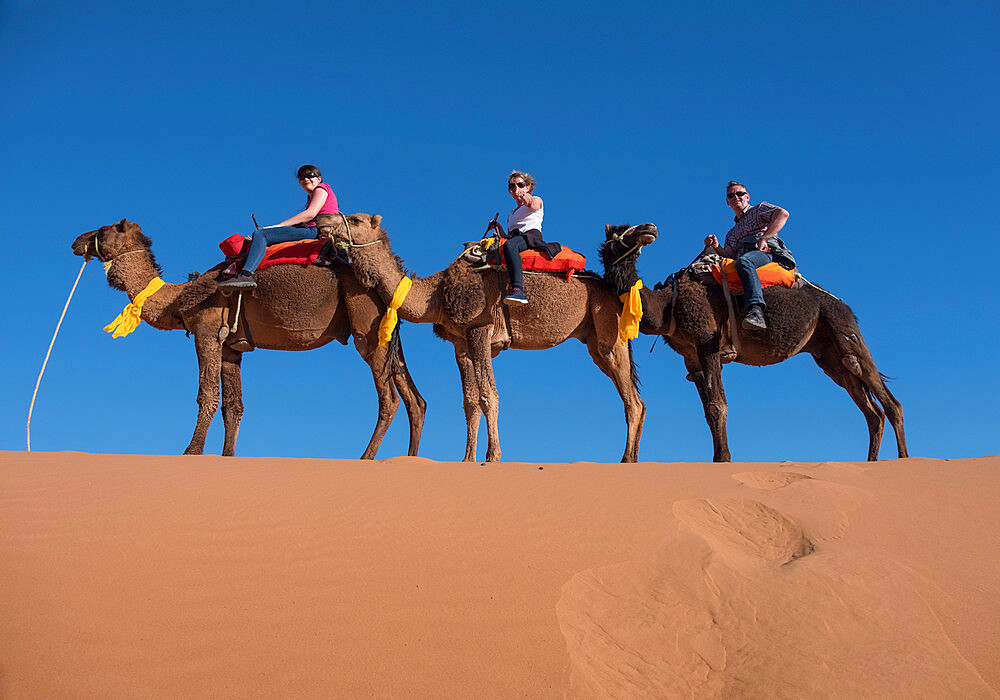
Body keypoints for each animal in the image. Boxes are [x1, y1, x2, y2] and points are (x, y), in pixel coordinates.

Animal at [71, 220, 426, 460]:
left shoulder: (207, 333)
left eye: (104, 228)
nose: (76, 240)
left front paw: (191, 451)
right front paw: (227, 457)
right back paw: (409, 459)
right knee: (414, 399)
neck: (179, 297)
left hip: (366, 328)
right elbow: (234, 405)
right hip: (386, 335)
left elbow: (207, 395)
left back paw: (365, 458)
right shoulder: (231, 348)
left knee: (390, 399)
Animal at [320, 213, 648, 464]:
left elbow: (489, 394)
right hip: (594, 340)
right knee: (636, 399)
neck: (435, 293)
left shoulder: (480, 329)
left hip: (608, 334)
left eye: (355, 219)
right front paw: (467, 458)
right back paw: (632, 458)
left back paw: (626, 459)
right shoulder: (460, 343)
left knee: (632, 401)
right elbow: (470, 401)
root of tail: (613, 291)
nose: (324, 222)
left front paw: (492, 457)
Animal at [596, 224, 912, 462]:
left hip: (845, 331)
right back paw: (872, 463)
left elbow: (717, 405)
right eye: (620, 230)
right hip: (827, 355)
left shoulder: (707, 341)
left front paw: (723, 459)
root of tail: (845, 305)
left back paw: (902, 459)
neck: (668, 305)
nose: (650, 228)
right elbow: (708, 411)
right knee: (871, 410)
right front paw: (718, 457)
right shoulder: (691, 358)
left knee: (888, 399)